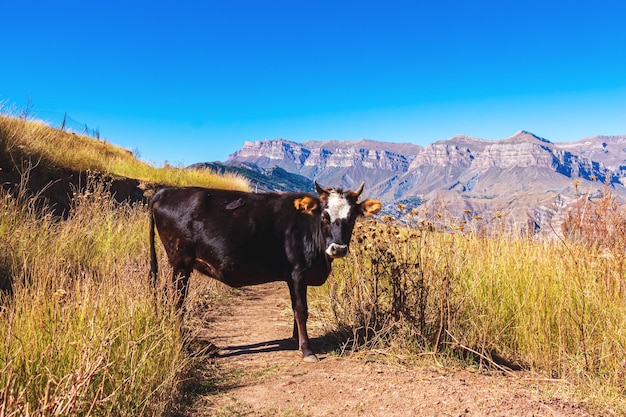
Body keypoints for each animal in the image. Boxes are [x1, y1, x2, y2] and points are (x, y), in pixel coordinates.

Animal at [148, 182, 380, 360]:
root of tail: (166, 191)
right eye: (324, 216)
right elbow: (301, 309)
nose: (338, 249)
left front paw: (295, 340)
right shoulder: (299, 272)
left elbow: (294, 308)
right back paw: (183, 346)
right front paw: (307, 350)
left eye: (352, 217)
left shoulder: (291, 276)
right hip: (180, 263)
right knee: (176, 302)